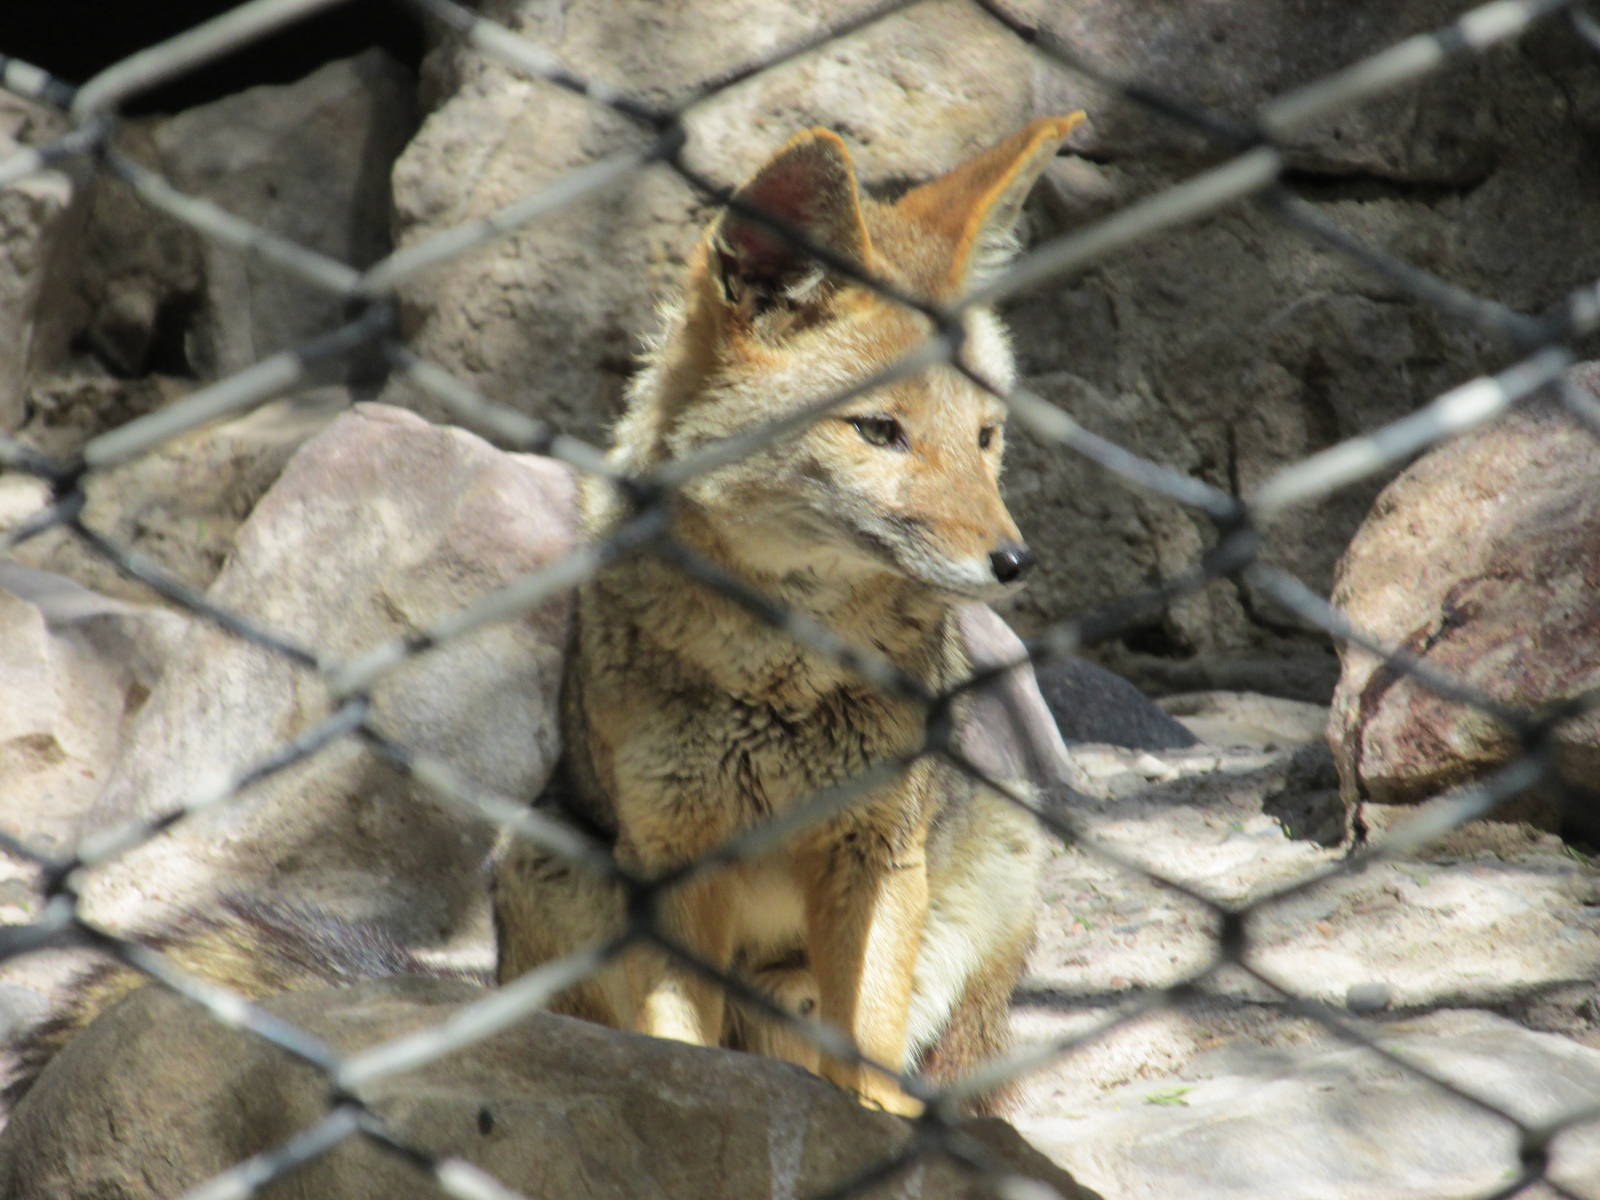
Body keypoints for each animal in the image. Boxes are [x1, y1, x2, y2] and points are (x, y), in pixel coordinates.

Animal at [493, 112, 1086, 1117]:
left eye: (985, 437)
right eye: (879, 432)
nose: (1014, 563)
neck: (783, 676)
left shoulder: (874, 850)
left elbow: (869, 1051)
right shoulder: (678, 856)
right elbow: (679, 1046)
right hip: (550, 868)